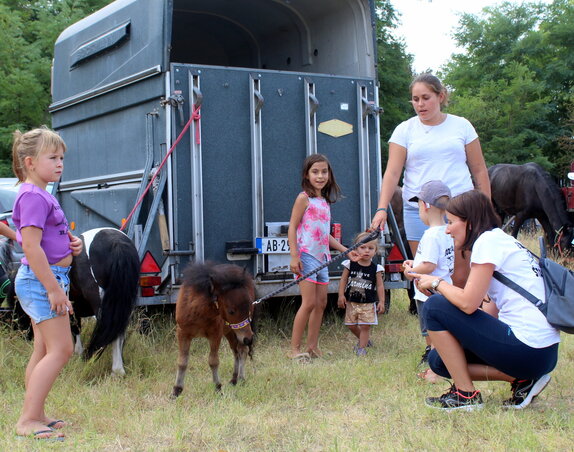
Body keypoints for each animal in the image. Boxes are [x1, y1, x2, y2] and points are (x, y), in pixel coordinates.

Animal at [172, 262, 255, 396]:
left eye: (249, 306)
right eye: (231, 311)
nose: (249, 338)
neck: (198, 311)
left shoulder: (215, 334)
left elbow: (213, 361)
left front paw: (218, 388)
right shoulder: (182, 333)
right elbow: (182, 362)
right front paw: (176, 390)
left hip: (236, 331)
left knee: (242, 350)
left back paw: (241, 379)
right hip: (231, 331)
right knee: (236, 351)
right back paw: (234, 379)